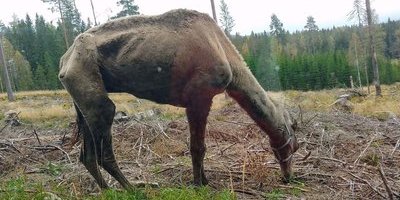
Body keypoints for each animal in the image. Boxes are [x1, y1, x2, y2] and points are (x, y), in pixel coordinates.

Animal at [57, 9, 298, 189]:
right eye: (293, 146)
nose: (288, 176)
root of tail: (64, 60)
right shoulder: (198, 97)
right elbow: (197, 147)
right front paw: (199, 184)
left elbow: (199, 146)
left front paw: (204, 180)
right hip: (94, 94)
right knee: (104, 150)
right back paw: (134, 189)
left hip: (83, 101)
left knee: (87, 156)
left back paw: (108, 189)